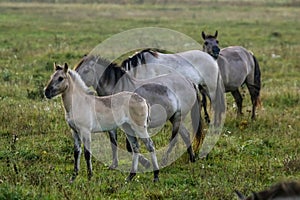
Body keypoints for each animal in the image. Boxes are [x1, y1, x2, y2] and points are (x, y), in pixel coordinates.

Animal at [74, 54, 203, 167]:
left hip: (177, 117)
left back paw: (164, 161)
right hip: (174, 117)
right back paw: (191, 158)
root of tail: (189, 82)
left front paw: (146, 163)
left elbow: (129, 147)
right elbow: (114, 142)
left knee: (175, 138)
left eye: (86, 70)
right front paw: (114, 164)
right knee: (185, 135)